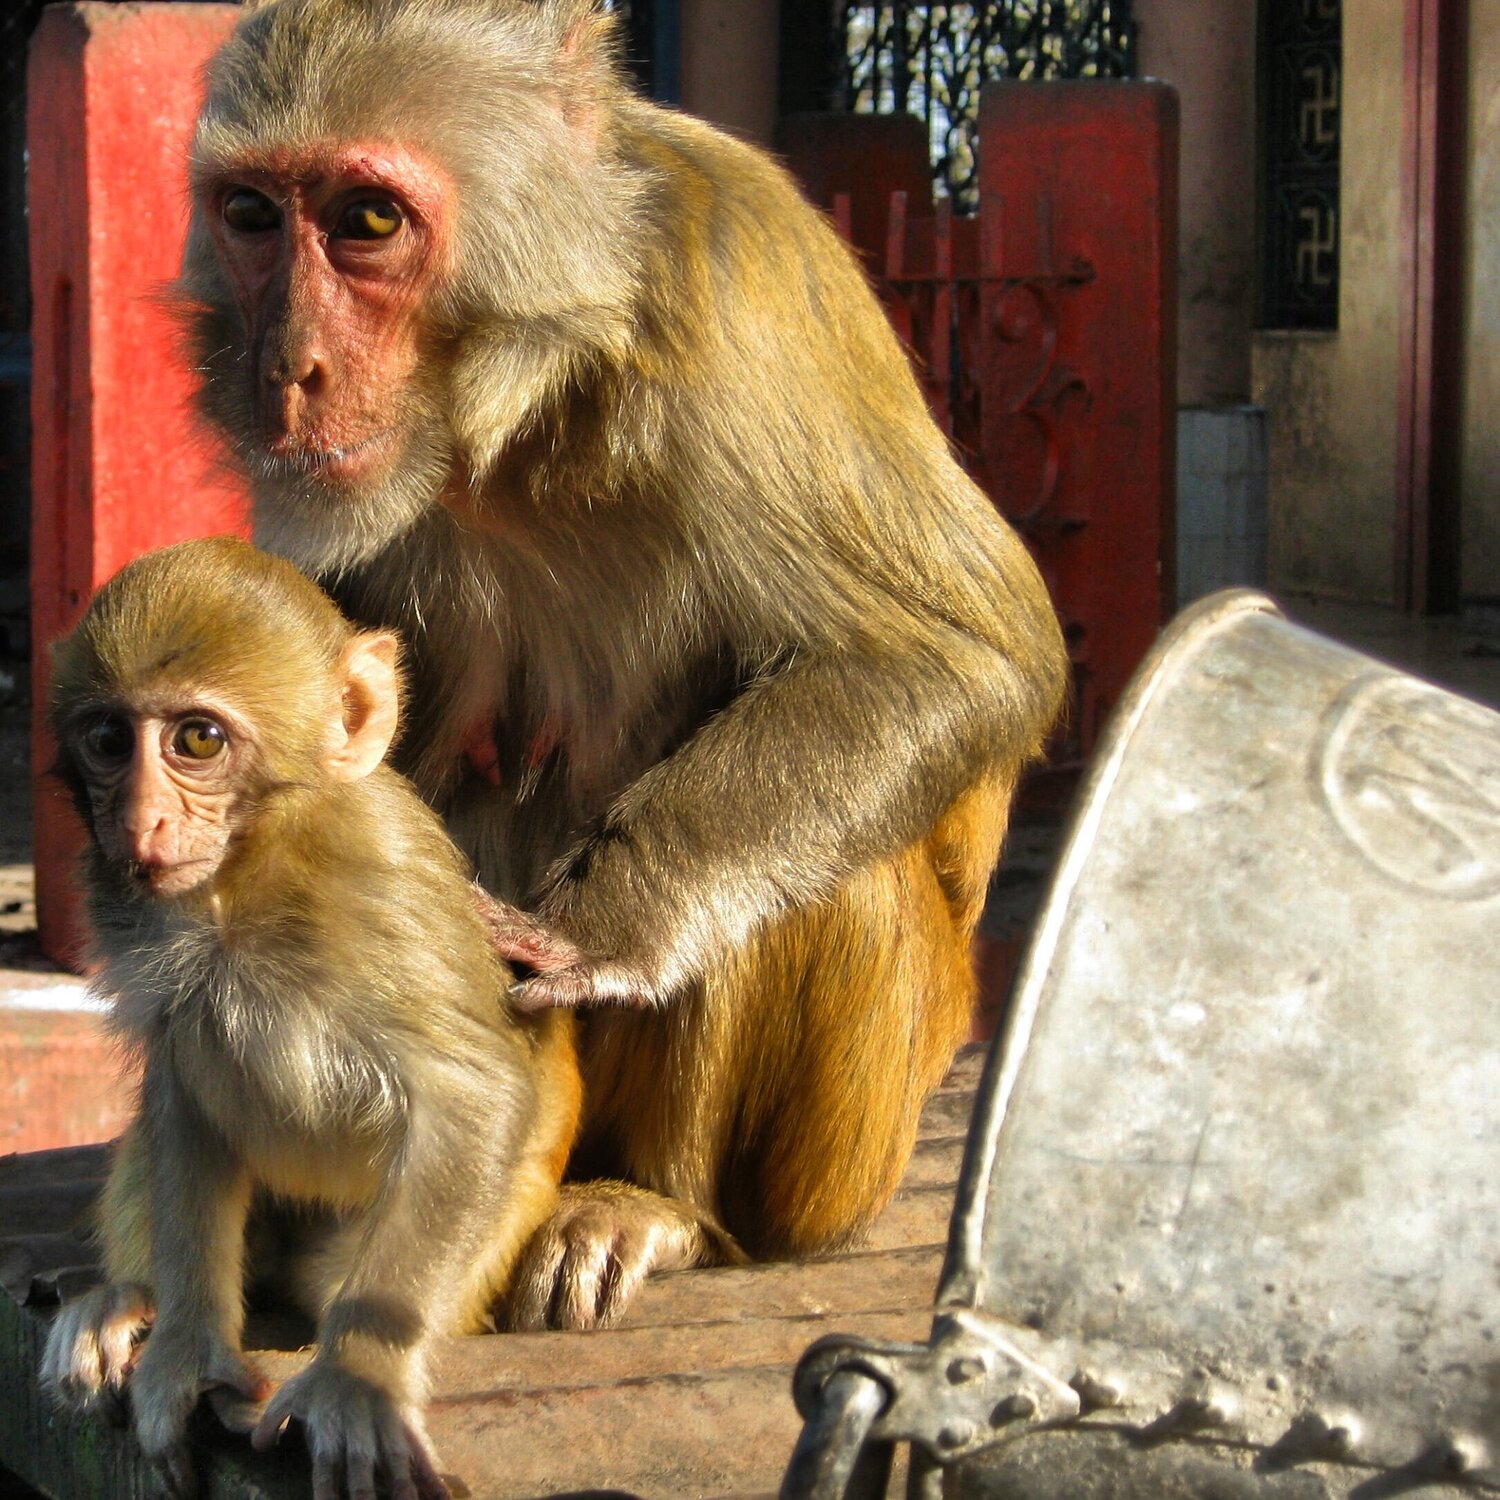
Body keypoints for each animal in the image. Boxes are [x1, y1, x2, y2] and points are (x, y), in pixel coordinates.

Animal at [39, 536, 580, 1499]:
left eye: (198, 739)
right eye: (108, 740)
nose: (140, 821)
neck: (244, 880)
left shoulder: (382, 879)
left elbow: (471, 1096)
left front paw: (356, 1378)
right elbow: (182, 1090)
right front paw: (185, 1345)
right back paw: (122, 1302)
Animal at [177, 0, 1070, 1329]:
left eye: (368, 222)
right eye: (249, 215)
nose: (285, 368)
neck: (514, 412)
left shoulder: (736, 299)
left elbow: (965, 658)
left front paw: (607, 924)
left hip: (853, 1155)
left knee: (829, 866)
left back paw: (653, 1202)